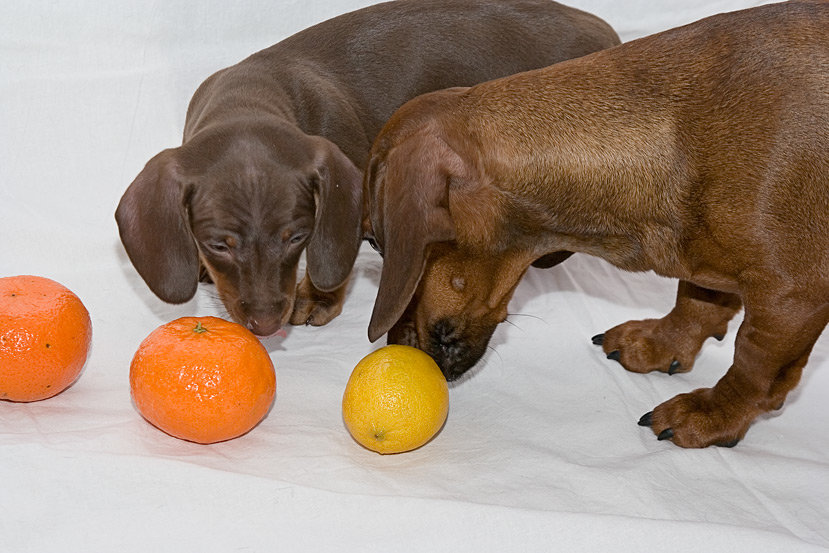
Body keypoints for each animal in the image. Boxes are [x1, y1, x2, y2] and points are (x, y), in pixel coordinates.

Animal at [113, 0, 616, 336]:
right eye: (218, 244)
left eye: (296, 237)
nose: (268, 324)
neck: (251, 95)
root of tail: (607, 35)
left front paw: (318, 297)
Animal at [366, 2, 824, 446]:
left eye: (373, 242)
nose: (393, 349)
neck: (678, 136)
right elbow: (697, 299)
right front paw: (661, 343)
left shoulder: (792, 299)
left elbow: (752, 365)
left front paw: (711, 414)